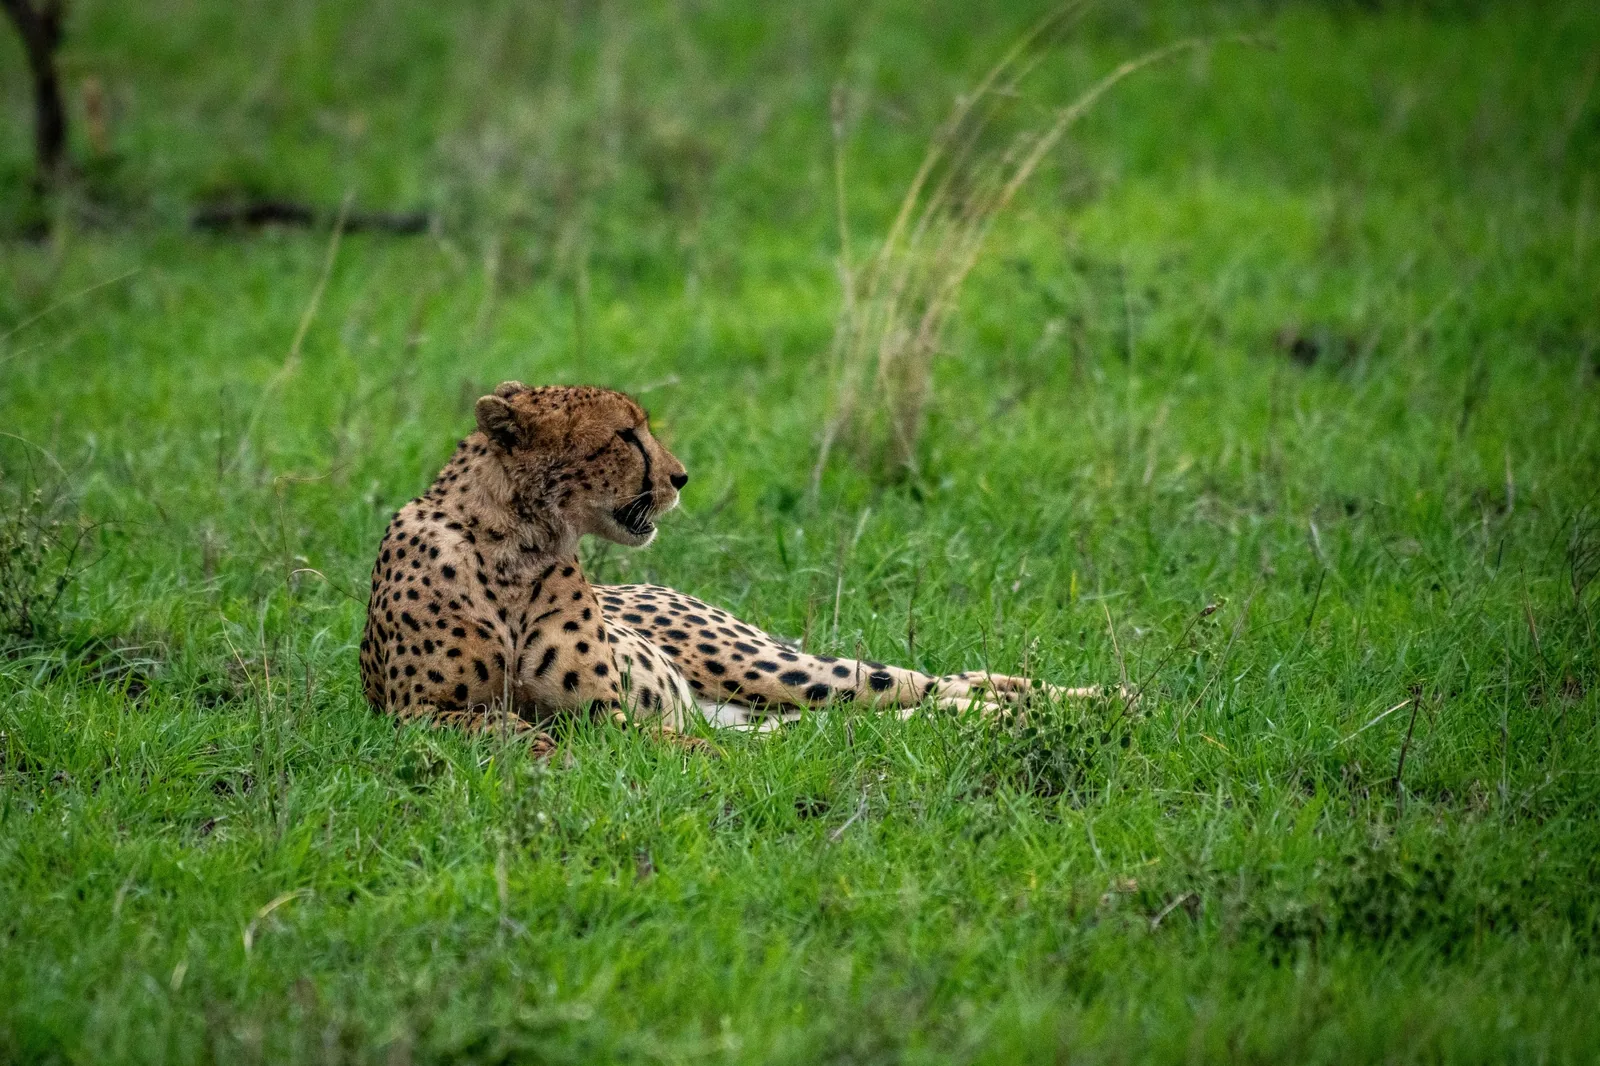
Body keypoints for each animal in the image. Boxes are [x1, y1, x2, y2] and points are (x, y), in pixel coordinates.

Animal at [359, 381, 1109, 751]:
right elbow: (506, 726)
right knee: (874, 721)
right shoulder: (413, 714)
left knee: (923, 682)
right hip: (766, 710)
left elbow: (631, 737)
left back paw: (1101, 699)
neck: (516, 542)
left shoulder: (608, 712)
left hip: (768, 668)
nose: (681, 477)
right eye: (625, 434)